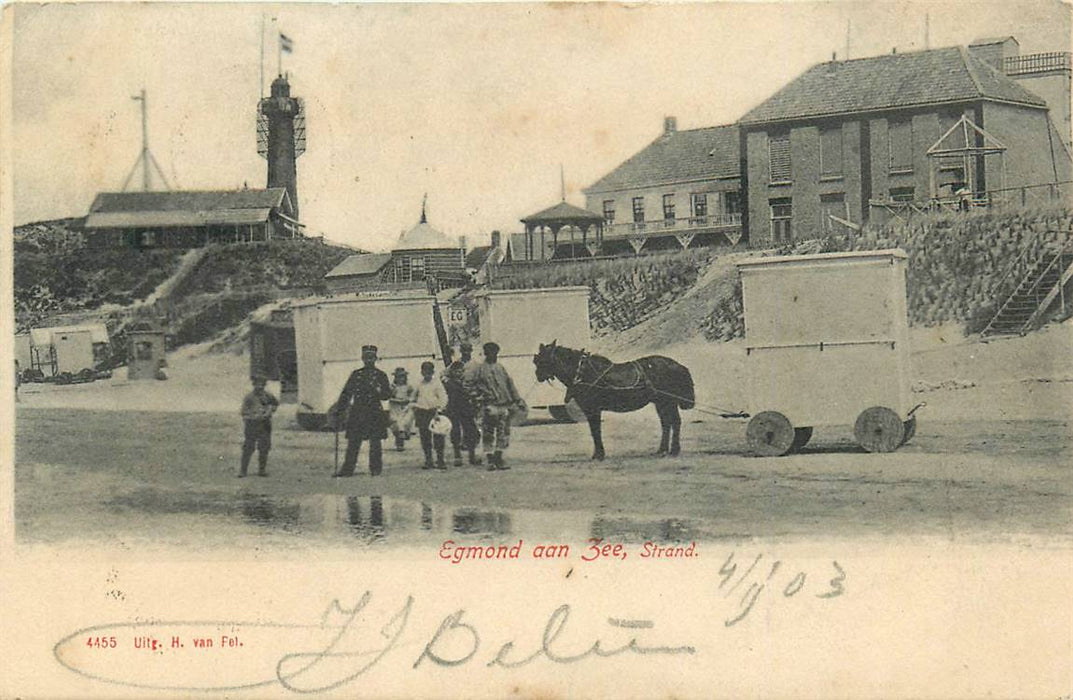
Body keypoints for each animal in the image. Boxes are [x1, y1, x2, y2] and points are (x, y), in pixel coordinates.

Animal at [530, 343, 695, 461]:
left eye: (542, 360)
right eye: (536, 361)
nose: (538, 376)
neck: (583, 373)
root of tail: (677, 365)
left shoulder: (593, 409)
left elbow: (596, 431)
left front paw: (599, 455)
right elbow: (594, 432)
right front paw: (597, 454)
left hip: (669, 402)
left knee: (675, 422)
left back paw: (674, 450)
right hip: (660, 402)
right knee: (666, 424)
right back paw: (662, 450)